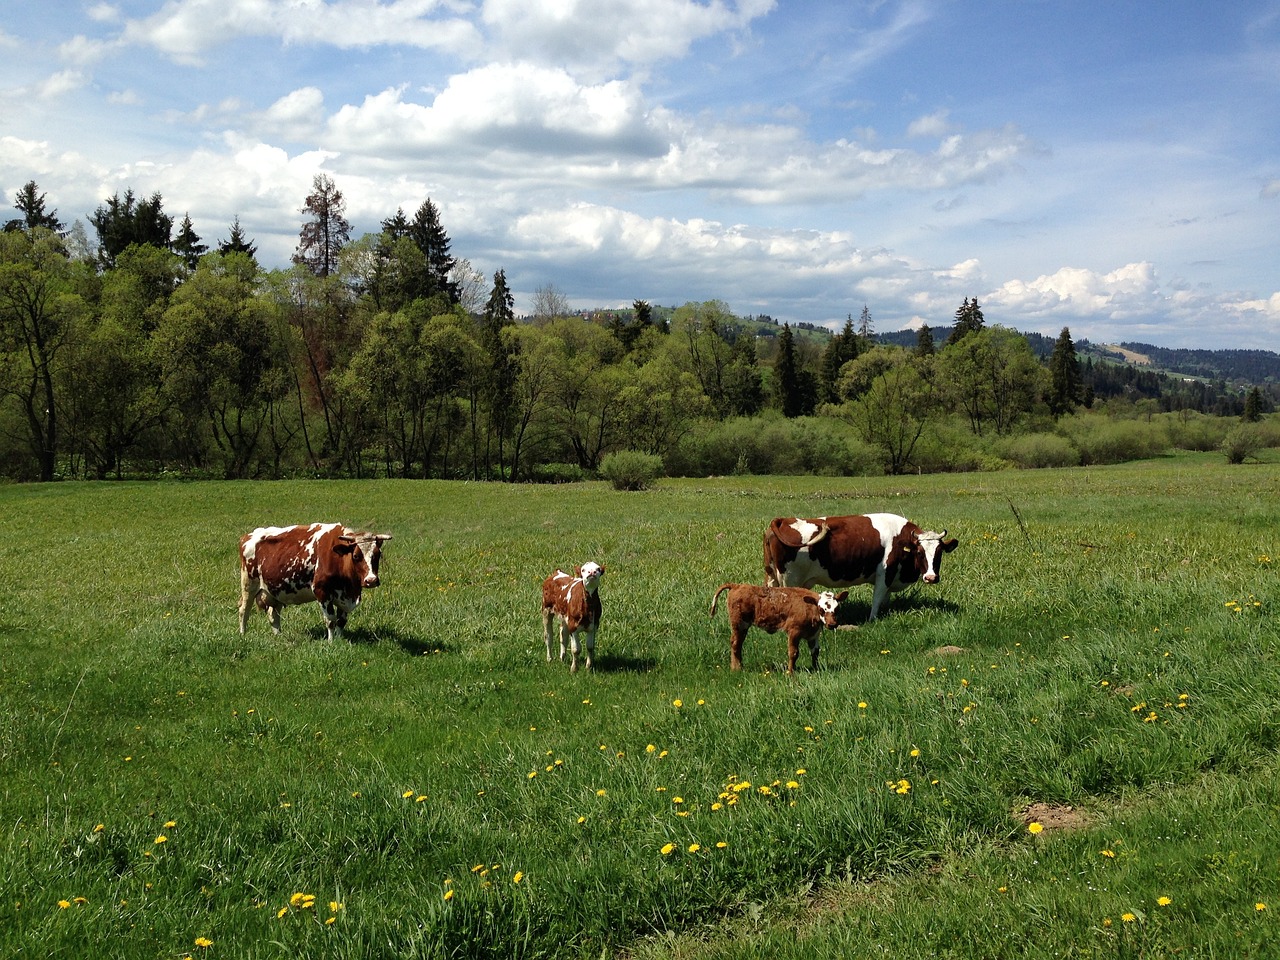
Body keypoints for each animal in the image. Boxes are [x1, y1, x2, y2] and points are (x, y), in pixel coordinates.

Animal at [239, 522, 389, 642]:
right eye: (356, 556)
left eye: (378, 555)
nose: (371, 580)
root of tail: (248, 536)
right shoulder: (321, 591)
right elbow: (330, 620)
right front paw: (331, 642)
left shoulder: (345, 595)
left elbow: (341, 621)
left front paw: (341, 640)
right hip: (249, 584)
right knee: (243, 610)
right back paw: (243, 634)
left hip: (276, 590)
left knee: (273, 614)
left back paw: (279, 636)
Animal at [711, 578, 849, 675]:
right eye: (821, 609)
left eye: (837, 608)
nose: (832, 624)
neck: (810, 609)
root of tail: (737, 585)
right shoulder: (794, 632)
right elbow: (793, 653)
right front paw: (791, 672)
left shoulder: (814, 635)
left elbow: (815, 652)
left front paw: (816, 669)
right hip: (740, 624)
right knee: (735, 644)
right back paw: (738, 668)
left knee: (737, 644)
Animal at [757, 512, 962, 624]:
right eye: (919, 552)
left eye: (939, 553)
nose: (931, 577)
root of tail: (782, 520)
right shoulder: (884, 573)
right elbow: (877, 599)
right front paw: (872, 620)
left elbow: (885, 600)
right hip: (789, 579)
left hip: (771, 575)